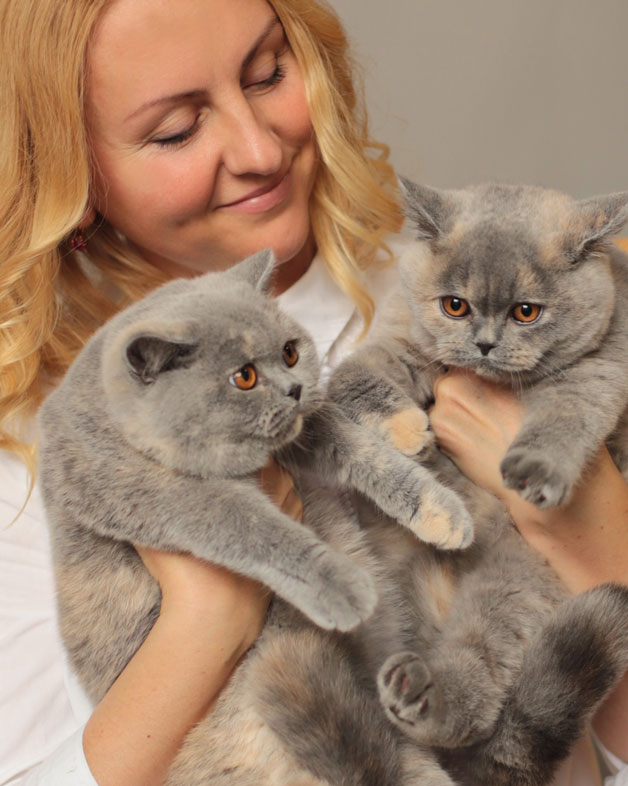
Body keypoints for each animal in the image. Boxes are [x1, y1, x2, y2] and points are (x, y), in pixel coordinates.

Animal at [36, 250, 474, 784]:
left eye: (289, 352)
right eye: (243, 377)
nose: (295, 389)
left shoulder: (311, 430)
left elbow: (367, 454)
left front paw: (441, 512)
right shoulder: (171, 496)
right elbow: (262, 532)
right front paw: (348, 589)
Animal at [326, 181, 628, 780]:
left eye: (526, 312)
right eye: (455, 305)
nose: (485, 343)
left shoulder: (602, 366)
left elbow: (568, 413)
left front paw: (535, 473)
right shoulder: (400, 338)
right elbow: (353, 377)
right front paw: (408, 433)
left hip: (520, 582)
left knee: (479, 689)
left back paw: (422, 693)